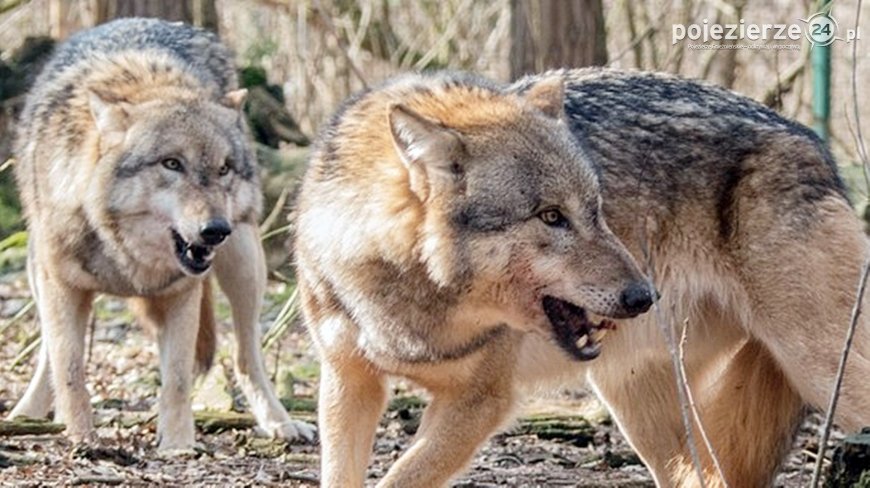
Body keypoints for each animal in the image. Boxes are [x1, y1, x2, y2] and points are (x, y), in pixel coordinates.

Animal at [8, 19, 316, 452]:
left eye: (223, 168)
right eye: (172, 164)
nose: (215, 230)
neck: (124, 254)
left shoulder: (181, 294)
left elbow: (178, 379)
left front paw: (178, 446)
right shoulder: (63, 287)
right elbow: (69, 369)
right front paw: (82, 437)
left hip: (245, 263)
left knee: (246, 355)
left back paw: (279, 422)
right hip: (38, 273)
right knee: (48, 355)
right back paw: (27, 414)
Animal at [294, 66, 870, 486]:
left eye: (596, 209)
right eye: (551, 216)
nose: (644, 296)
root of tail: (814, 145)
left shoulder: (479, 402)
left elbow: (398, 477)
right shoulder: (348, 382)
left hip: (827, 374)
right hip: (637, 401)